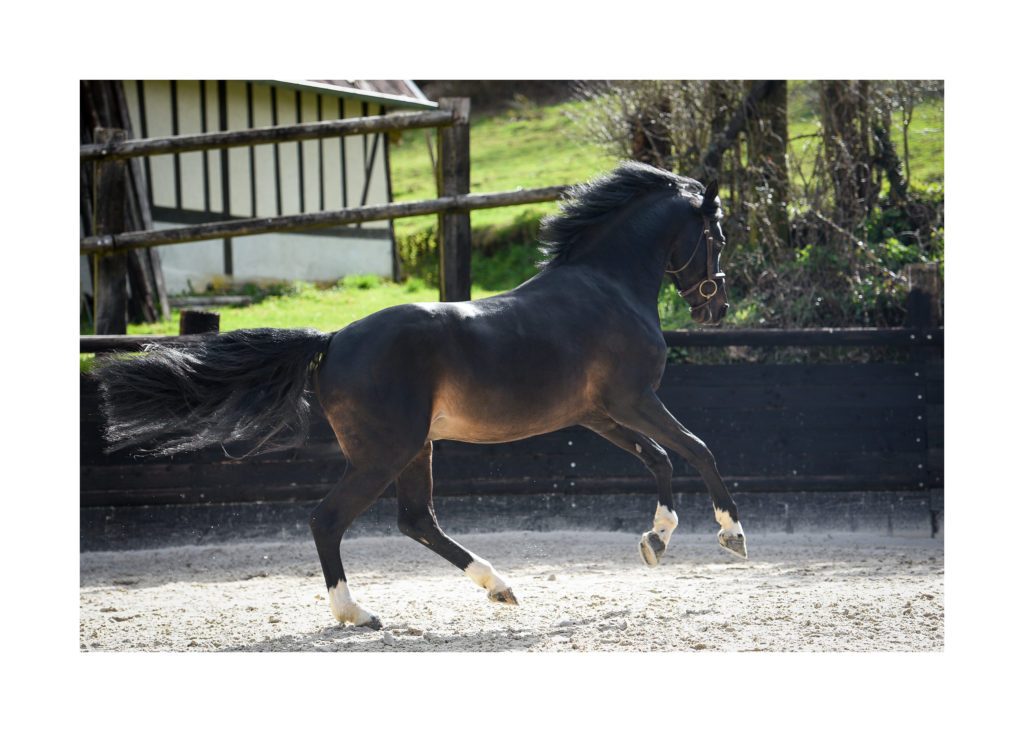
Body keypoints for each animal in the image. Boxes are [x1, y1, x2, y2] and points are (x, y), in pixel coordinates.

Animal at [94, 161, 745, 630]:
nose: (716, 308)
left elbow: (660, 459)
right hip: (385, 452)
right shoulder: (634, 400)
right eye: (716, 234)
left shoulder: (598, 414)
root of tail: (332, 340)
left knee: (417, 520)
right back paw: (357, 614)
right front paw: (731, 536)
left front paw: (655, 542)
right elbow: (700, 448)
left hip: (415, 448)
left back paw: (499, 588)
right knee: (329, 519)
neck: (607, 286)